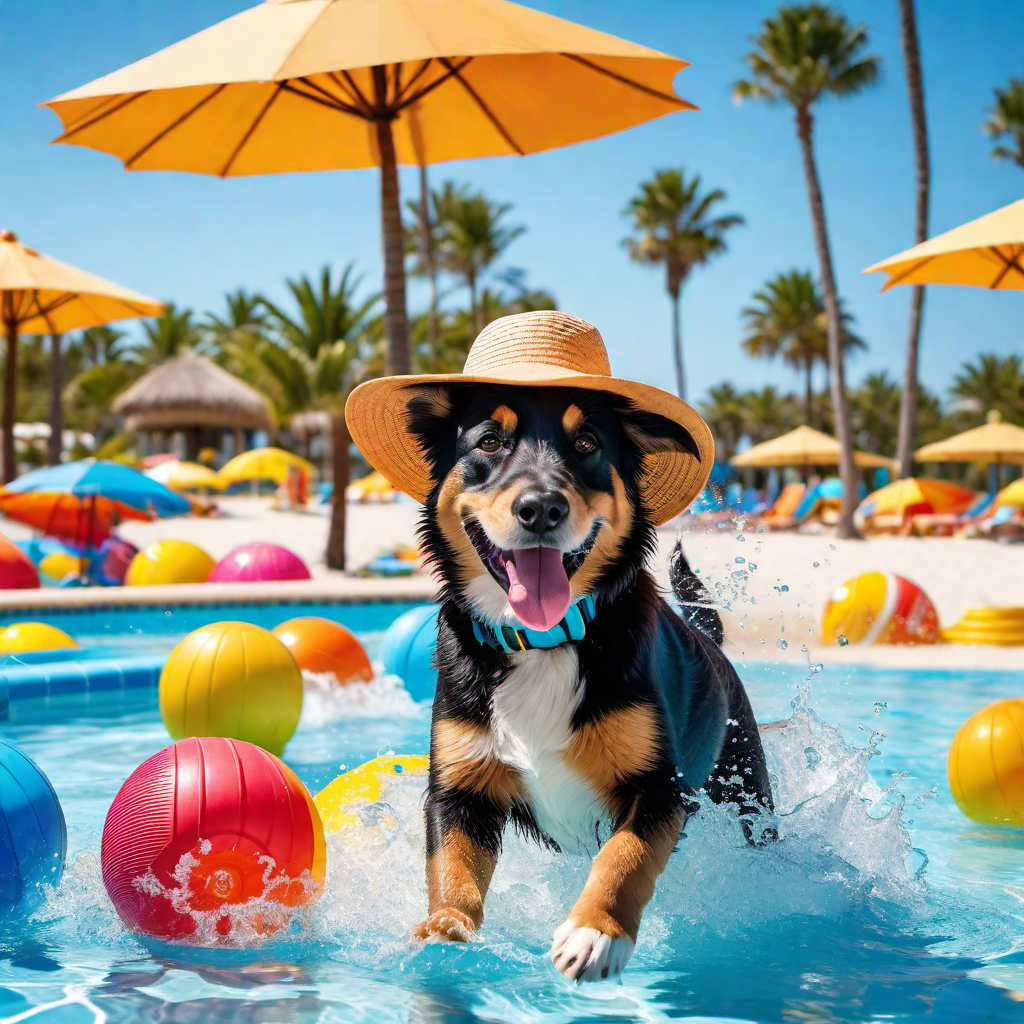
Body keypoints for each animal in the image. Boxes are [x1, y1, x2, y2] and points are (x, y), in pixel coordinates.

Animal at [348, 309, 770, 983]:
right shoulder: (458, 789)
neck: (542, 642)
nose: (540, 507)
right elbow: (451, 871)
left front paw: (596, 932)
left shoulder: (659, 787)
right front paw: (444, 929)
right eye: (489, 442)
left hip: (746, 791)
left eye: (589, 444)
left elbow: (624, 857)